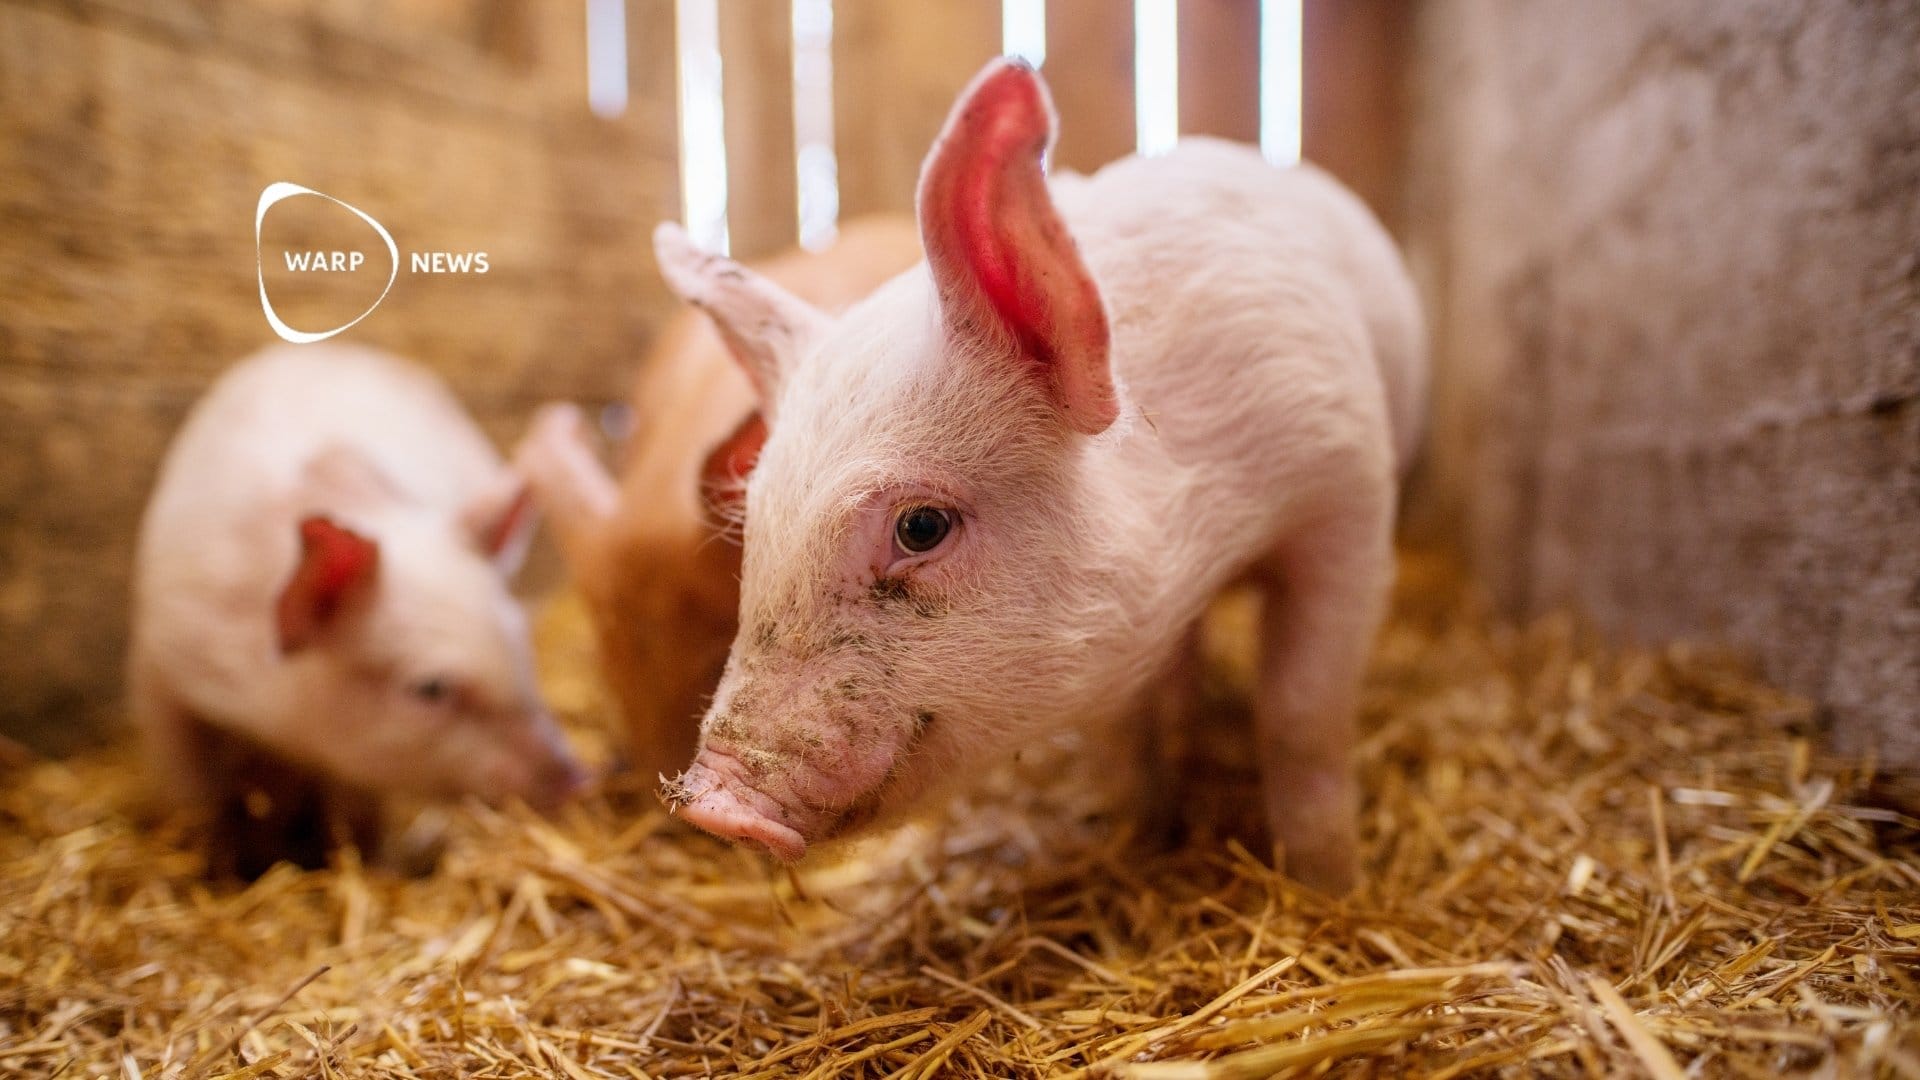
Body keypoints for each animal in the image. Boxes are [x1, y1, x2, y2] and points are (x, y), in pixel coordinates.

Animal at [129, 345, 588, 874]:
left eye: (520, 639)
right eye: (429, 689)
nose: (578, 778)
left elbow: (355, 809)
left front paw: (361, 860)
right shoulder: (163, 667)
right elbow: (192, 791)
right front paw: (223, 865)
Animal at [656, 59, 1426, 893]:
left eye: (921, 526)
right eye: (757, 525)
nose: (712, 803)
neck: (1217, 523)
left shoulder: (1348, 490)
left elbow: (1299, 712)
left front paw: (1330, 886)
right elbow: (1127, 723)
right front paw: (1138, 838)